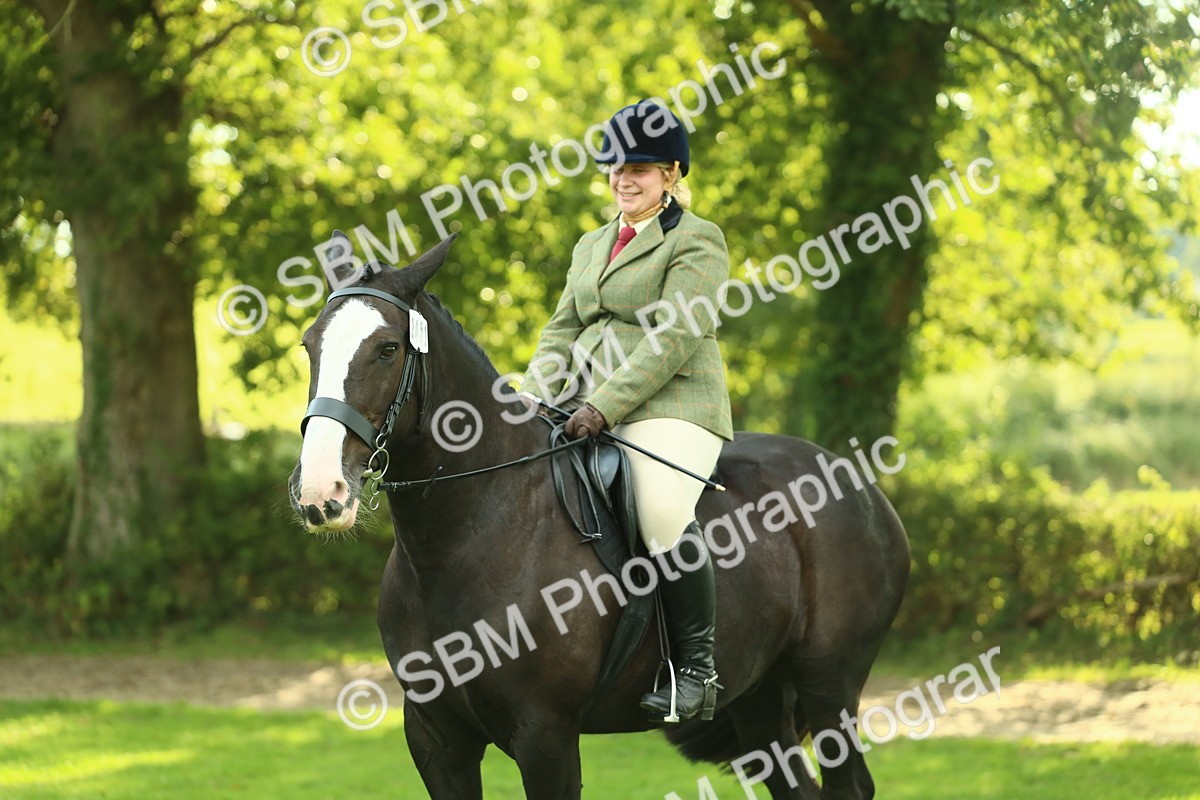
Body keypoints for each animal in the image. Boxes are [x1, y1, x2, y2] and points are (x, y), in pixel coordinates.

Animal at [287, 232, 910, 799]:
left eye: (387, 349)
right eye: (310, 345)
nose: (320, 492)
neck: (463, 539)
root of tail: (860, 484)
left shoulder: (546, 736)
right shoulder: (436, 739)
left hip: (829, 686)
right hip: (758, 700)